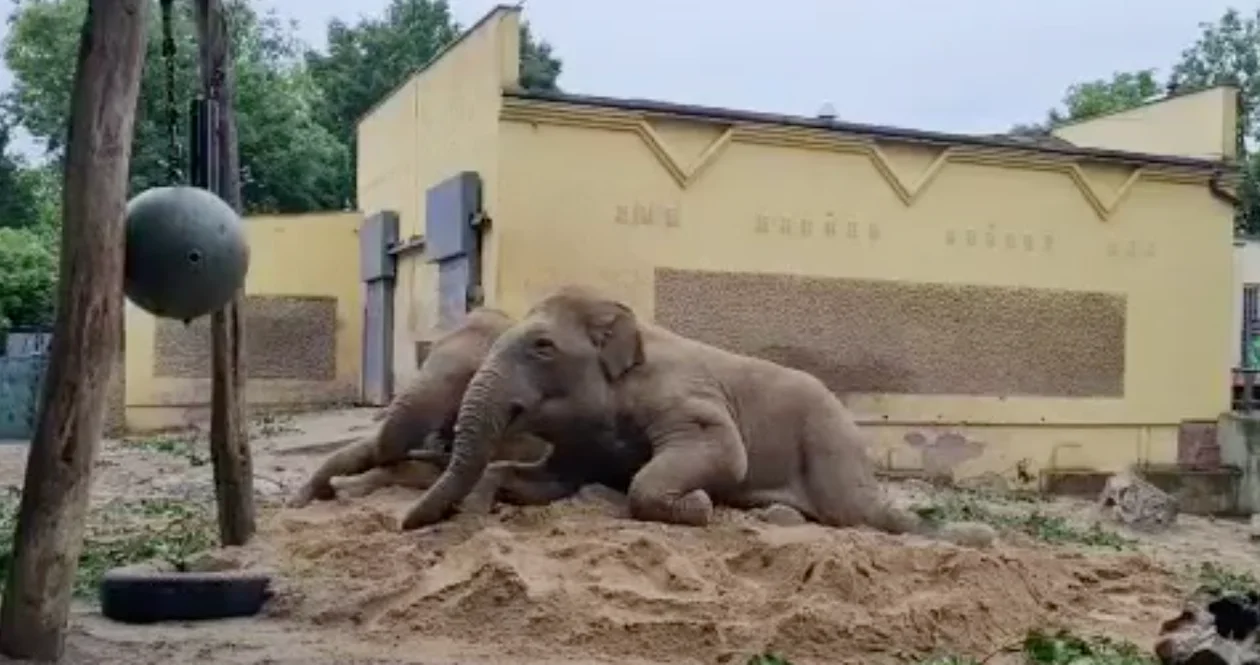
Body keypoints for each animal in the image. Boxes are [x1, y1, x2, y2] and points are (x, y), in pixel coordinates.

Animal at [400, 283, 992, 549]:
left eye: (542, 346)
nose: (403, 524)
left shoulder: (683, 395)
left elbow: (725, 454)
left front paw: (701, 504)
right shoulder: (583, 441)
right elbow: (551, 480)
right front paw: (477, 508)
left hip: (829, 446)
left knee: (855, 514)